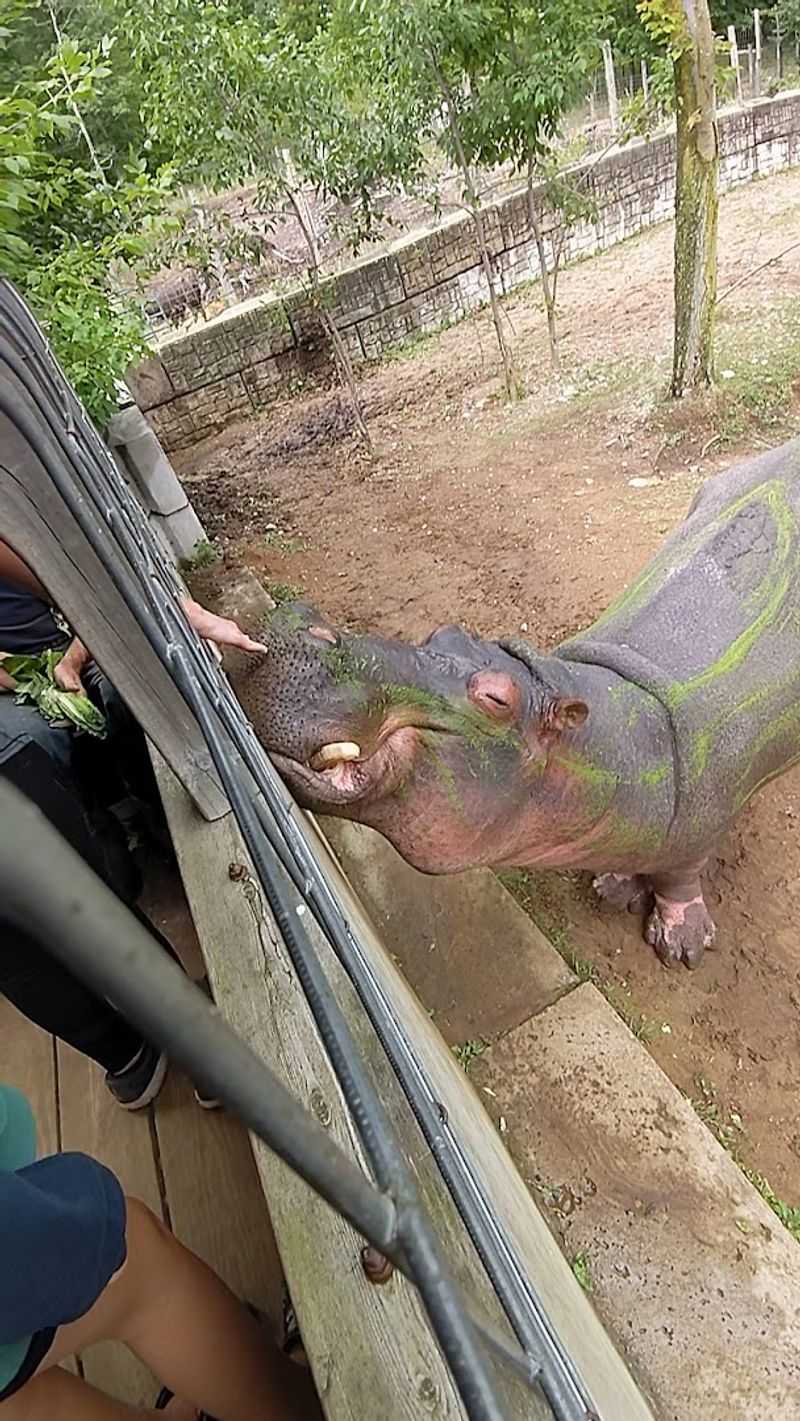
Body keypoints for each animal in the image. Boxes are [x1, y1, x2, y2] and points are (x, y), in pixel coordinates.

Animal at [229, 439, 800, 970]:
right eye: (445, 630)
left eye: (496, 698)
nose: (305, 624)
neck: (623, 742)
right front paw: (614, 888)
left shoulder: (705, 825)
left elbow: (680, 877)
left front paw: (680, 945)